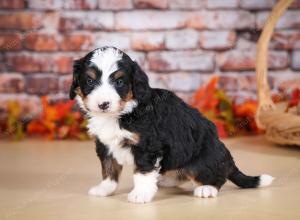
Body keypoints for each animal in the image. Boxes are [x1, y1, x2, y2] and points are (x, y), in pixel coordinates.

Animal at [69, 46, 274, 205]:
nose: (103, 104)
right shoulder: (105, 145)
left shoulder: (147, 146)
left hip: (203, 159)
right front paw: (104, 189)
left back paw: (207, 188)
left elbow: (142, 172)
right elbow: (108, 169)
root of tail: (226, 155)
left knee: (216, 176)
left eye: (119, 81)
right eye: (89, 80)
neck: (123, 112)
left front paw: (140, 194)